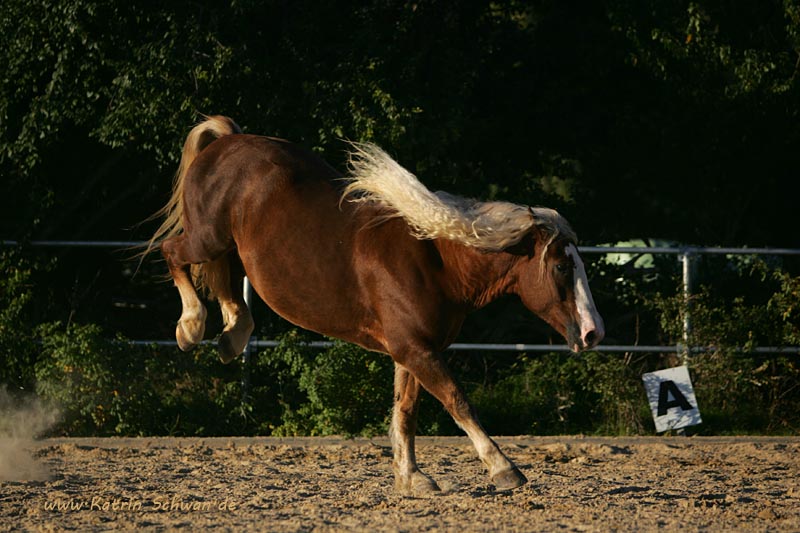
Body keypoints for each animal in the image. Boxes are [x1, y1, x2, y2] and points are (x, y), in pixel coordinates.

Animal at [145, 114, 608, 492]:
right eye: (561, 266)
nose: (594, 332)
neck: (437, 262)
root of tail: (226, 140)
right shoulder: (417, 350)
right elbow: (457, 401)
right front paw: (504, 469)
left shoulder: (413, 350)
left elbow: (405, 411)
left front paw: (412, 479)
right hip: (208, 237)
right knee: (173, 253)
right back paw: (191, 328)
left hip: (230, 247)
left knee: (225, 282)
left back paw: (231, 337)